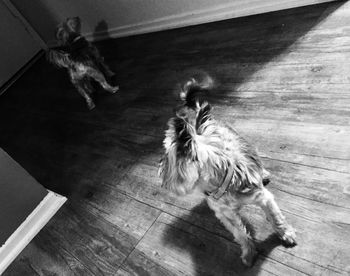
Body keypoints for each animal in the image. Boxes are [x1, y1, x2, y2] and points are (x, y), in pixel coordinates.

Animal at [160, 76, 296, 266]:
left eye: (166, 161)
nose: (160, 172)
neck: (221, 183)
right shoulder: (225, 213)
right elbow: (239, 232)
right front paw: (248, 251)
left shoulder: (263, 198)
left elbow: (275, 217)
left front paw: (285, 233)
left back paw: (264, 174)